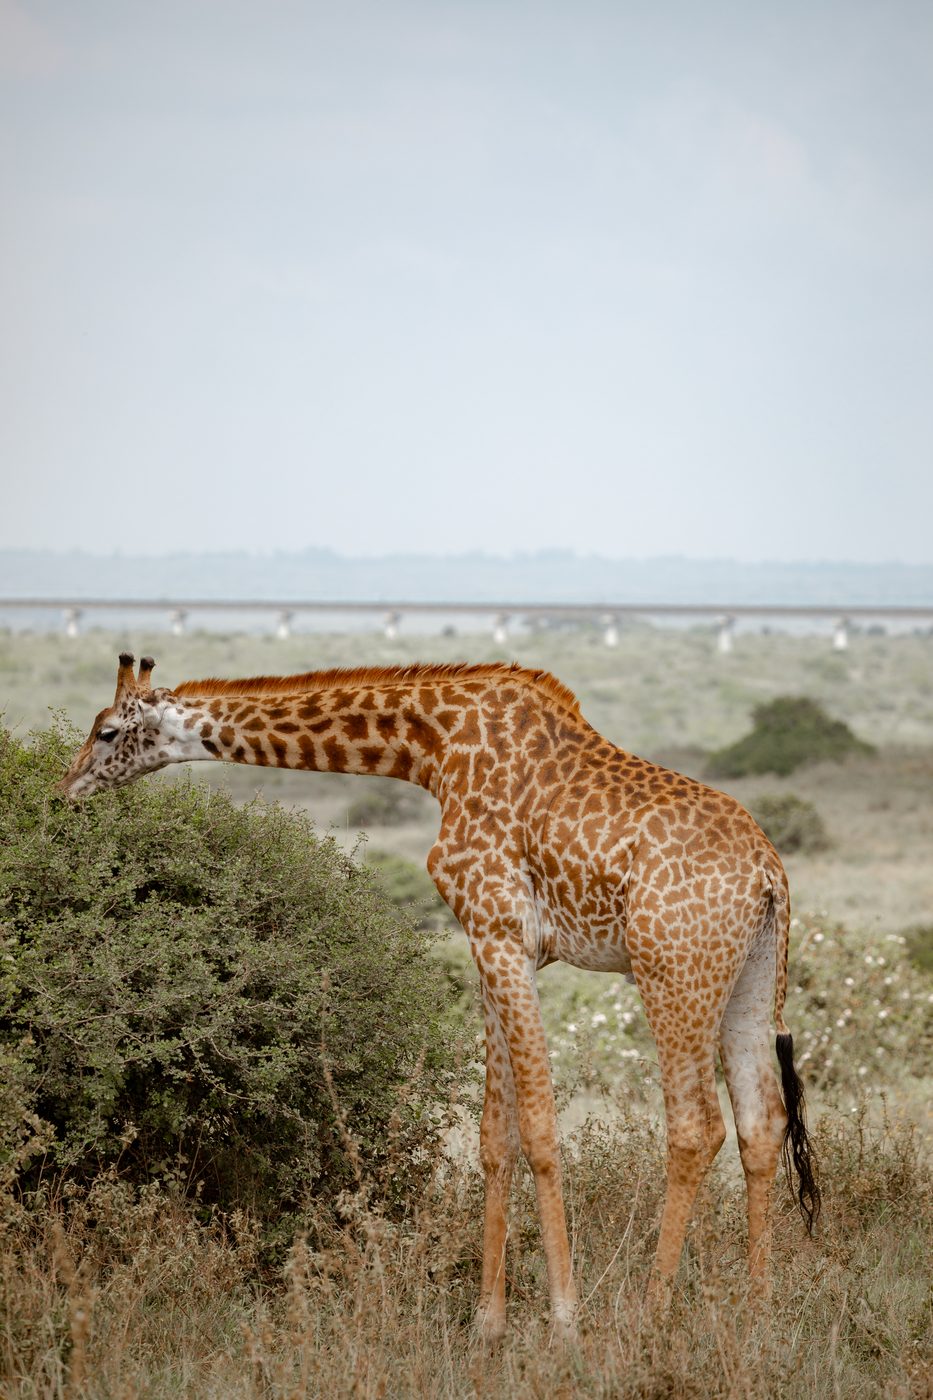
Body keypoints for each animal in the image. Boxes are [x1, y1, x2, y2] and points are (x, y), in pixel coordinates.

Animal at [60, 653, 819, 1340]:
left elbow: (539, 1127)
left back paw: (650, 1315)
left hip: (671, 971)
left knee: (695, 1126)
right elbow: (493, 1135)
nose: (66, 792)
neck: (433, 749)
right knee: (761, 1122)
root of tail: (767, 872)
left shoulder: (500, 929)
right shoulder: (495, 945)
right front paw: (488, 1321)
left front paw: (564, 1320)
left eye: (106, 731)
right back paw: (758, 1311)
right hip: (751, 980)